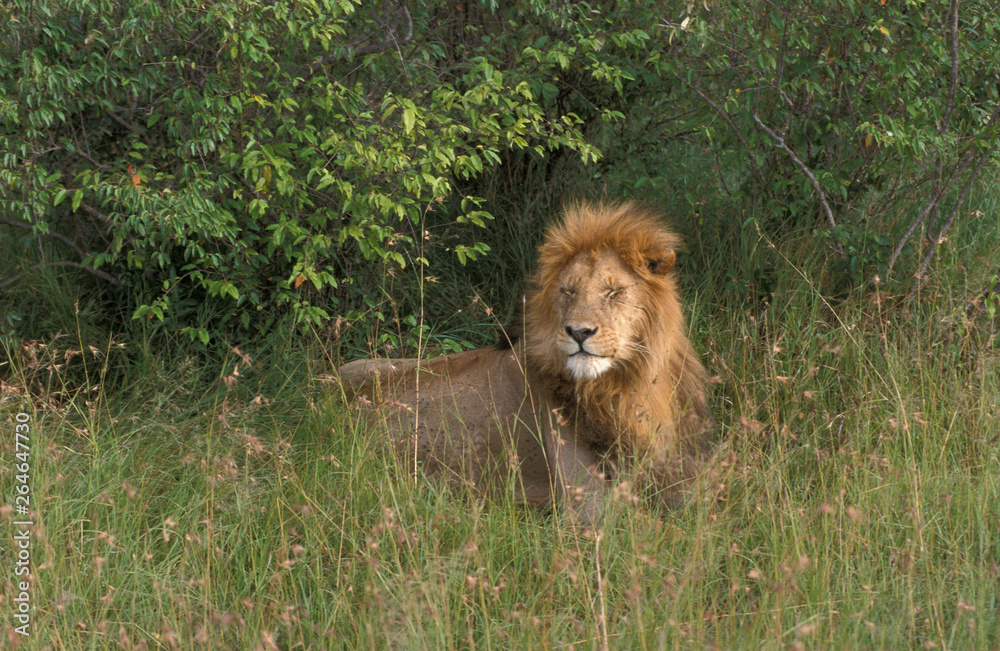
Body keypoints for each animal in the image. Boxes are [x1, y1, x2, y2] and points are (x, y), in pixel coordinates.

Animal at [338, 203, 711, 524]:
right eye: (568, 291)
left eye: (613, 292)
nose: (579, 331)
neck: (628, 387)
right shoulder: (590, 505)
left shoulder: (683, 478)